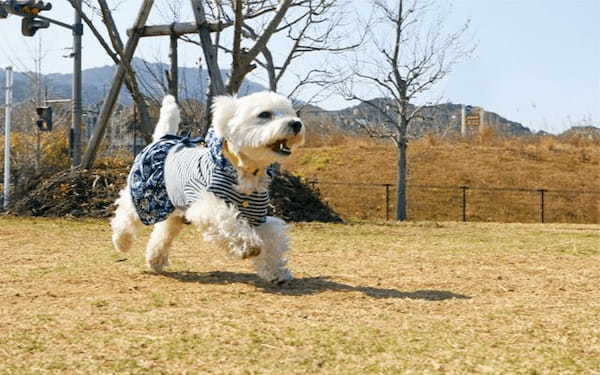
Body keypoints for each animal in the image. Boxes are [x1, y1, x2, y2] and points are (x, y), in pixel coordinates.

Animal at [110, 92, 304, 284]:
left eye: (290, 112)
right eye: (264, 114)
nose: (297, 123)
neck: (244, 170)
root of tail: (163, 139)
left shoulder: (258, 216)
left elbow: (272, 241)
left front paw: (277, 272)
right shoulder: (208, 204)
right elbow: (228, 221)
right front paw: (247, 245)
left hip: (175, 211)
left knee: (163, 232)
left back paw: (155, 260)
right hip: (145, 197)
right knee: (126, 214)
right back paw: (121, 242)